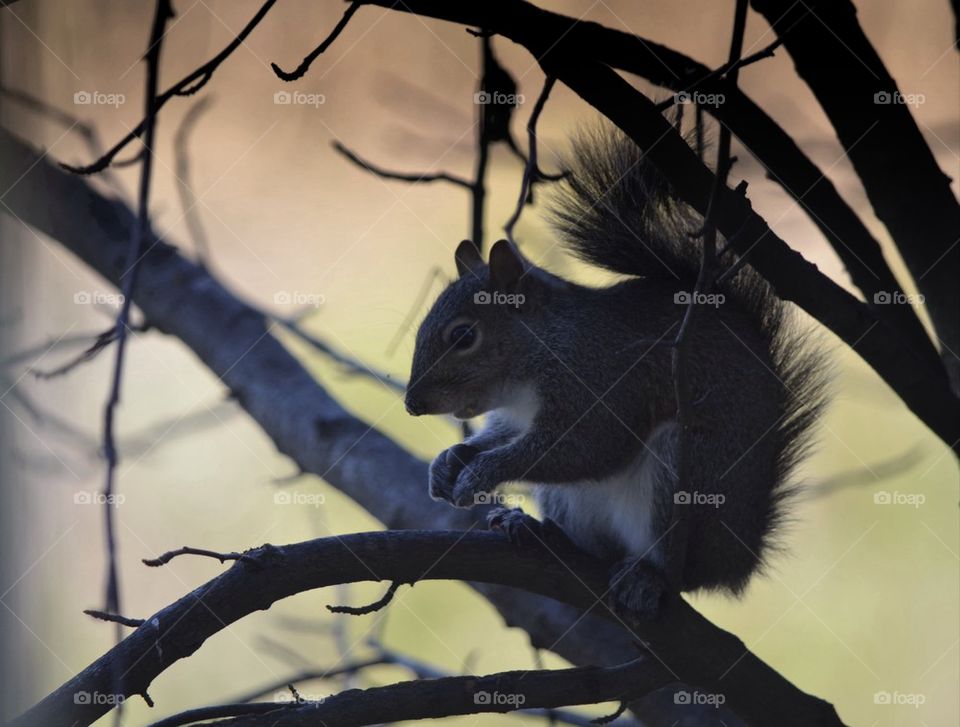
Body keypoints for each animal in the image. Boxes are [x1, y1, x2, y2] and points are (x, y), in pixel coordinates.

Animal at [402, 128, 828, 616]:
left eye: (463, 336)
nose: (412, 404)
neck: (540, 355)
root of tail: (735, 563)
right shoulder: (517, 415)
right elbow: (503, 435)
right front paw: (451, 461)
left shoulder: (600, 380)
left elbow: (586, 447)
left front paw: (482, 473)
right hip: (572, 501)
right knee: (597, 546)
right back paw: (538, 530)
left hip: (685, 473)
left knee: (676, 571)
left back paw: (647, 578)